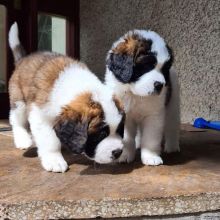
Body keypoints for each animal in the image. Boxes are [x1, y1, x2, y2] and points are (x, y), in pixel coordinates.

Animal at [9, 22, 125, 174]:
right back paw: (23, 139)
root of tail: (23, 60)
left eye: (119, 129)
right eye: (100, 134)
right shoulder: (40, 115)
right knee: (16, 119)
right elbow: (49, 140)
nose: (118, 152)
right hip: (19, 99)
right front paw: (54, 160)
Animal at [105, 30, 180, 166]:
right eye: (146, 65)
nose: (160, 85)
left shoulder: (154, 115)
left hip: (173, 104)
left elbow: (151, 137)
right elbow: (126, 137)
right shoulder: (124, 115)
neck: (136, 94)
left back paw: (172, 146)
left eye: (164, 69)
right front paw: (125, 155)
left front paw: (150, 156)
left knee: (172, 125)